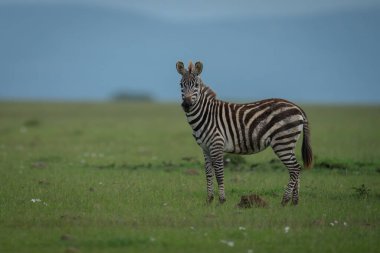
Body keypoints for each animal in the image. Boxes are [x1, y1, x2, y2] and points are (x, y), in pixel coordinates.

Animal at [177, 61, 314, 206]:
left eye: (196, 85)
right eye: (181, 85)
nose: (186, 104)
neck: (206, 114)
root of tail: (297, 107)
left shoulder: (217, 144)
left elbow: (219, 173)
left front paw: (221, 200)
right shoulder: (205, 148)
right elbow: (208, 174)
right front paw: (209, 200)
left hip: (282, 142)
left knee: (295, 169)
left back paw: (284, 201)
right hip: (289, 142)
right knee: (297, 168)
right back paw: (295, 202)